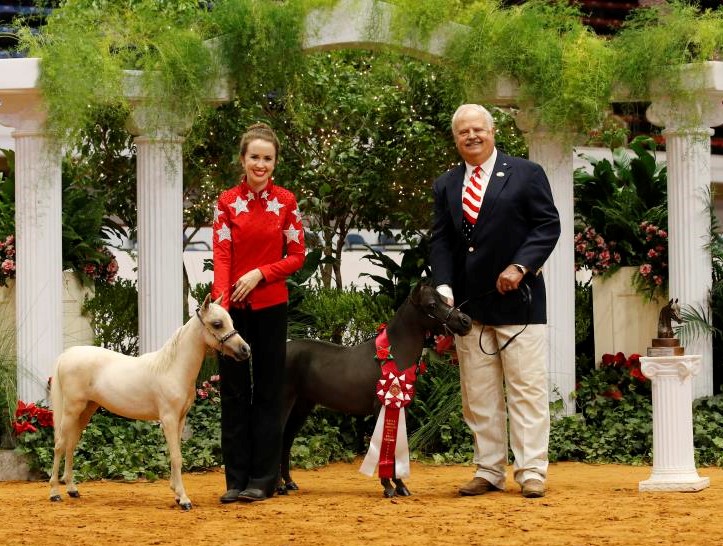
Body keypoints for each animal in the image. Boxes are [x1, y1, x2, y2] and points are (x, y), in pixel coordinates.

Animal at [49, 296, 250, 508]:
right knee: (60, 444)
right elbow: (176, 457)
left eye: (231, 321)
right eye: (217, 324)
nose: (245, 350)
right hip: (72, 409)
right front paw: (184, 499)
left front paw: (176, 493)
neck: (172, 368)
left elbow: (176, 454)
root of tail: (67, 355)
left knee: (71, 444)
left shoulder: (180, 419)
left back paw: (72, 489)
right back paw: (54, 492)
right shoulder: (168, 419)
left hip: (86, 410)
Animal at [280, 282, 472, 496]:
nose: (466, 321)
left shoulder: (399, 408)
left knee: (286, 440)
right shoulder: (382, 407)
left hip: (302, 407)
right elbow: (384, 446)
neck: (392, 354)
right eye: (431, 304)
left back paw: (289, 483)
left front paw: (400, 486)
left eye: (444, 299)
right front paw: (388, 487)